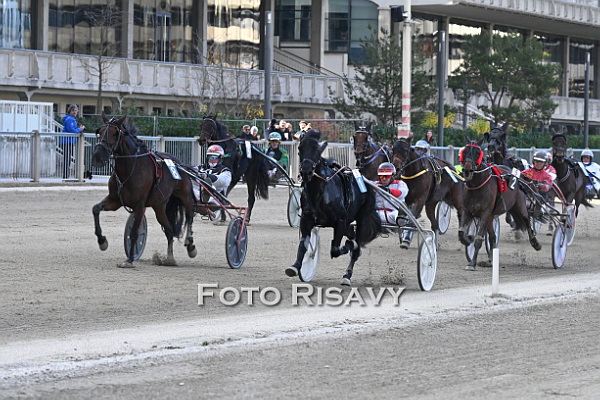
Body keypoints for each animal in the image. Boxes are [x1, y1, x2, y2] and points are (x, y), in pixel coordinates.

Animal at [91, 114, 197, 268]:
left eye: (115, 133)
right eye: (100, 131)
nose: (98, 157)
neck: (130, 168)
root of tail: (179, 164)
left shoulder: (139, 205)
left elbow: (135, 231)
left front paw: (129, 259)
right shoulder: (114, 201)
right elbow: (96, 209)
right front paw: (102, 241)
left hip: (185, 197)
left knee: (189, 217)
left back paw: (190, 246)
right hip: (159, 207)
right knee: (170, 231)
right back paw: (169, 259)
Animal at [285, 129, 381, 286]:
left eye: (317, 149)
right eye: (300, 148)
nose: (306, 171)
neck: (319, 192)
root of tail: (367, 182)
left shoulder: (340, 221)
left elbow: (335, 249)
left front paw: (349, 246)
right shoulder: (306, 219)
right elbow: (303, 244)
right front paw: (295, 266)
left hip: (362, 218)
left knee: (356, 245)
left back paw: (347, 275)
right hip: (349, 222)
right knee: (352, 234)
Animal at [459, 138, 540, 270]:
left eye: (477, 152)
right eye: (465, 151)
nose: (467, 170)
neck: (477, 186)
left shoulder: (485, 213)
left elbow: (478, 239)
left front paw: (472, 263)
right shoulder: (467, 211)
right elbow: (461, 233)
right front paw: (467, 240)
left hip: (519, 206)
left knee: (527, 221)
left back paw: (535, 243)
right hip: (491, 217)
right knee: (493, 237)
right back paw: (491, 260)